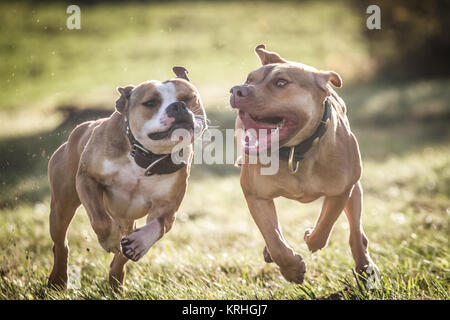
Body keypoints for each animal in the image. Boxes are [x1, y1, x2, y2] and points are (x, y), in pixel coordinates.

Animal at [47, 67, 206, 290]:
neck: (144, 157)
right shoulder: (87, 179)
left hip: (126, 219)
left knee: (122, 249)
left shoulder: (167, 207)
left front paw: (139, 244)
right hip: (62, 205)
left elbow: (157, 225)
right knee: (61, 243)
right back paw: (59, 279)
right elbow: (100, 219)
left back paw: (116, 279)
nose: (178, 106)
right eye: (150, 103)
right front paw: (109, 240)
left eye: (188, 98)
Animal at [229, 44, 380, 282]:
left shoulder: (341, 191)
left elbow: (326, 223)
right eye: (248, 79)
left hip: (355, 189)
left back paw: (364, 267)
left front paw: (311, 237)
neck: (296, 151)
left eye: (281, 82)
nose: (237, 90)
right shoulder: (256, 195)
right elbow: (274, 238)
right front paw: (291, 269)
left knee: (356, 230)